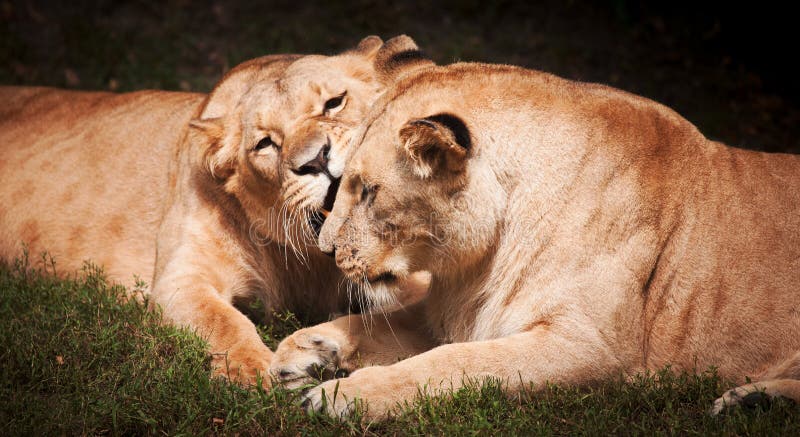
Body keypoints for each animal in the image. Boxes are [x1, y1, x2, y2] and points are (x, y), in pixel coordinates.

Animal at [0, 35, 432, 385]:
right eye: (265, 144)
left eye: (334, 102)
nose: (316, 160)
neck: (307, 262)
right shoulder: (181, 279)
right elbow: (223, 321)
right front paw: (256, 374)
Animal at [269, 62, 800, 418]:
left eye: (370, 191)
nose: (327, 250)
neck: (480, 262)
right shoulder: (451, 311)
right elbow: (380, 323)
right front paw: (307, 349)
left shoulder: (591, 347)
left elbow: (452, 362)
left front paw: (343, 396)